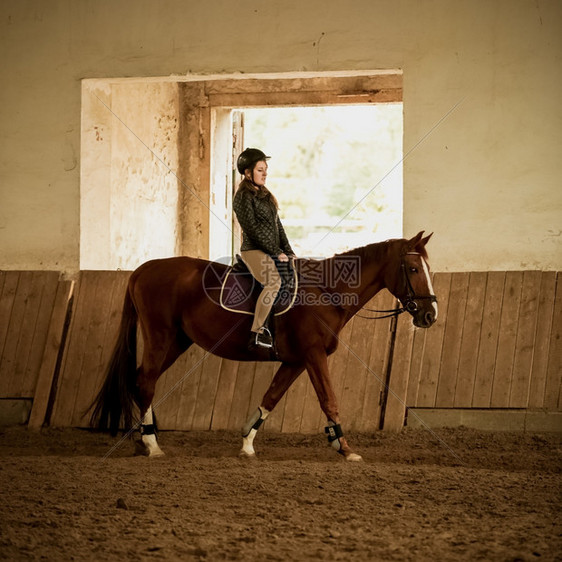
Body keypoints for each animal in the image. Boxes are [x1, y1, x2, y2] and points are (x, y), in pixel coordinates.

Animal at [88, 231, 438, 460]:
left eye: (428, 269)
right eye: (412, 269)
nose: (430, 314)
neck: (328, 292)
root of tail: (142, 269)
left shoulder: (296, 361)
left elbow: (270, 397)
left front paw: (247, 444)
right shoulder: (314, 355)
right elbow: (329, 399)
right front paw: (345, 447)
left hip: (177, 341)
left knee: (140, 380)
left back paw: (141, 439)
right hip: (161, 336)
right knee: (146, 381)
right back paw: (152, 445)